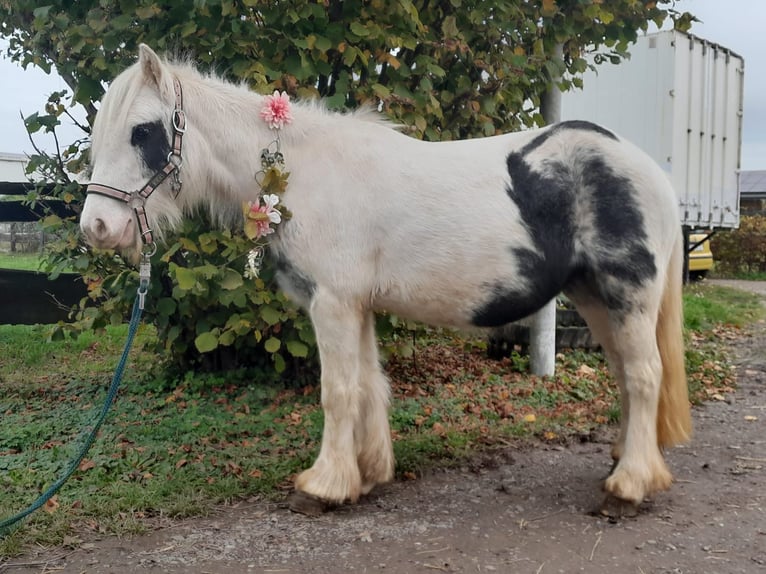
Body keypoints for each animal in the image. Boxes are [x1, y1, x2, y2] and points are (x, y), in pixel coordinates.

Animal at [81, 46, 692, 516]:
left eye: (142, 131)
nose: (97, 228)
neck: (302, 173)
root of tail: (650, 170)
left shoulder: (332, 303)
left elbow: (337, 390)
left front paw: (323, 486)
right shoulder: (357, 305)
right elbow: (370, 384)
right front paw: (368, 473)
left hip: (627, 296)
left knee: (644, 376)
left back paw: (628, 486)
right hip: (594, 299)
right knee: (625, 374)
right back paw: (623, 460)